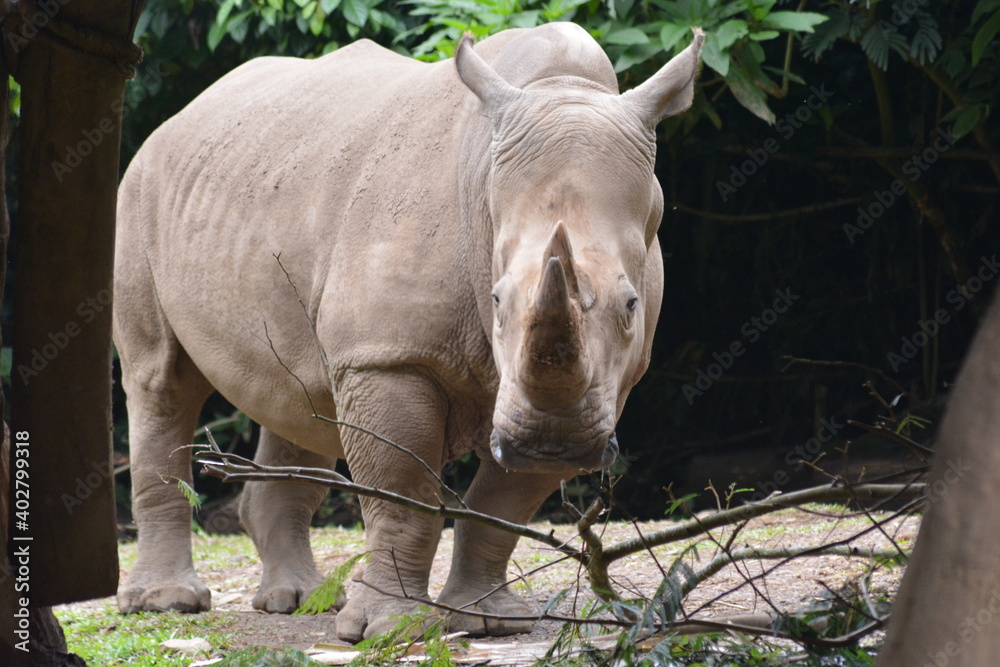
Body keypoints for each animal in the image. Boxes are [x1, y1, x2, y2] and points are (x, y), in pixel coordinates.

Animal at [114, 23, 703, 641]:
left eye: (631, 305)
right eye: (497, 300)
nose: (552, 441)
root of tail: (178, 117)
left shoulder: (601, 386)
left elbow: (502, 504)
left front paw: (491, 621)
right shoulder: (388, 357)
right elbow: (402, 495)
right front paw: (388, 630)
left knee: (298, 398)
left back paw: (300, 601)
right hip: (141, 187)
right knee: (161, 381)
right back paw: (167, 604)